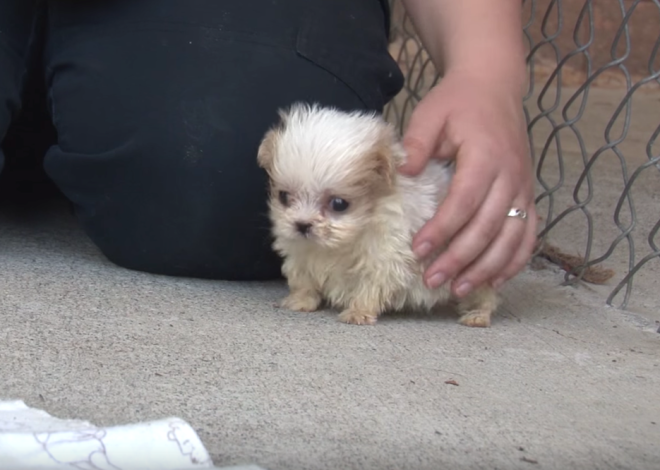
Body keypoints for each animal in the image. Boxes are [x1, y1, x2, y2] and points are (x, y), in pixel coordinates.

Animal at [255, 103, 498, 326]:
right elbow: (303, 278)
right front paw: (301, 300)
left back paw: (478, 315)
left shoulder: (385, 257)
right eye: (284, 196)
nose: (302, 225)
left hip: (472, 270)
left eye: (339, 204)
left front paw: (358, 312)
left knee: (484, 295)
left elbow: (370, 286)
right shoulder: (301, 252)